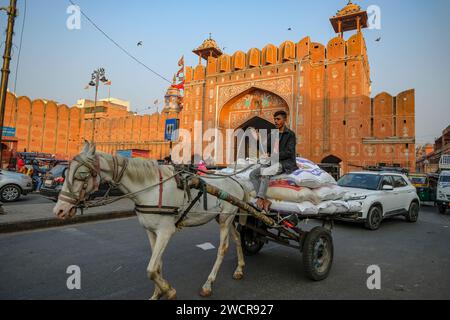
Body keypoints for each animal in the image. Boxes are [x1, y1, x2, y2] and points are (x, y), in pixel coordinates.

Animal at [55, 141, 250, 298]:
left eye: (82, 175)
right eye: (67, 172)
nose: (59, 210)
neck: (151, 189)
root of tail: (237, 181)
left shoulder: (166, 231)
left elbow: (150, 269)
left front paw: (169, 291)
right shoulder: (150, 231)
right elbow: (156, 265)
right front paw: (158, 293)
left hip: (225, 218)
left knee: (223, 248)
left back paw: (208, 284)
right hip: (226, 218)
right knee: (237, 238)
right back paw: (240, 268)